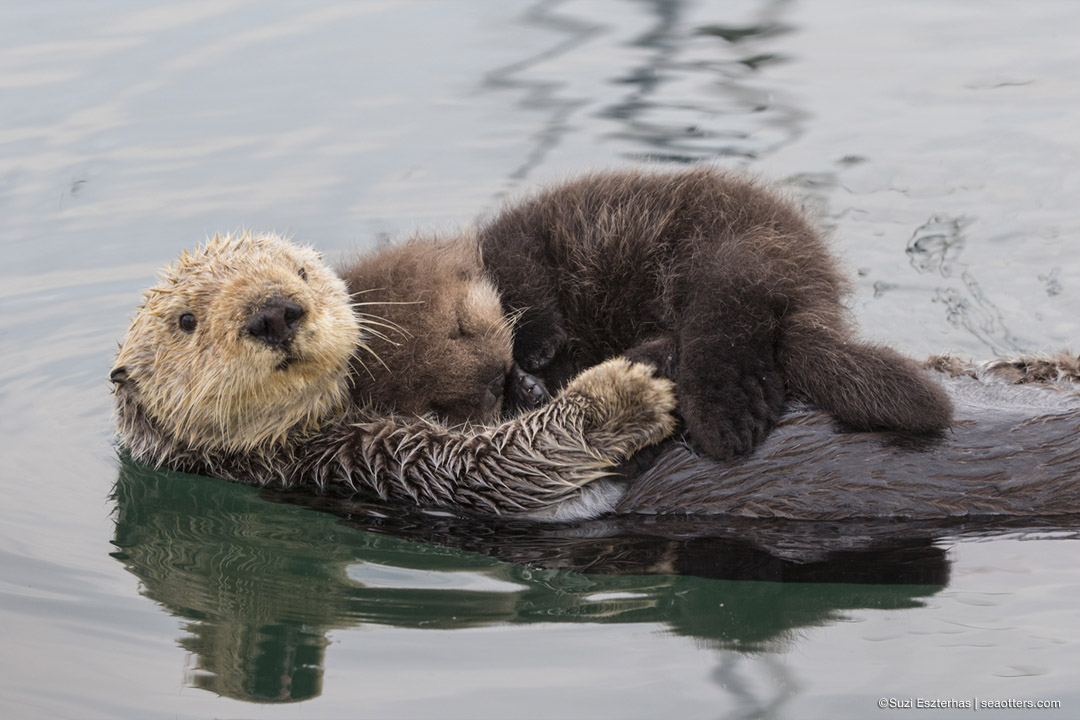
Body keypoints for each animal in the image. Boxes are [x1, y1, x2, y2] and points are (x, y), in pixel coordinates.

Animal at [109, 232, 678, 515]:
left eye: (301, 272)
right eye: (186, 320)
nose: (273, 312)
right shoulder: (362, 458)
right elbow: (502, 467)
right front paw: (623, 394)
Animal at [477, 168, 954, 459]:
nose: (523, 376)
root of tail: (814, 293)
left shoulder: (510, 244)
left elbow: (520, 276)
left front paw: (535, 351)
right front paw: (529, 387)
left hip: (736, 256)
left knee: (723, 337)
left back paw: (729, 421)